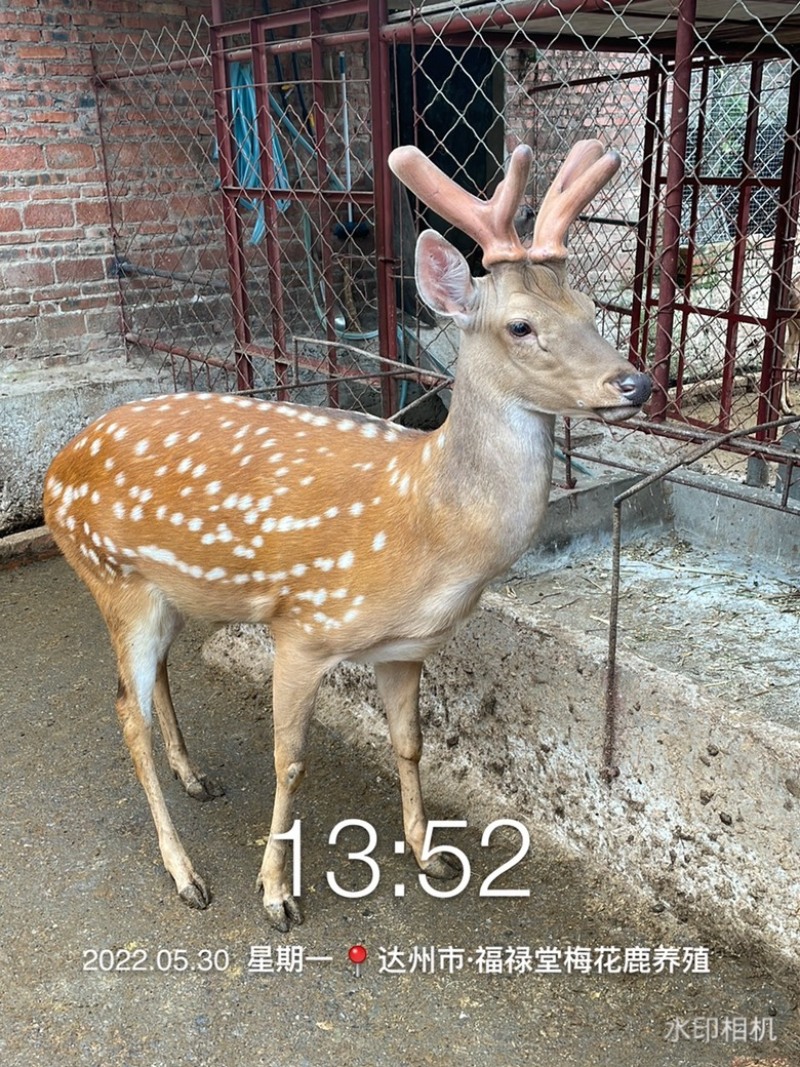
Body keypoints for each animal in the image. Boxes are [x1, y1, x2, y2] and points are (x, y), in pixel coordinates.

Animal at [43, 139, 651, 931]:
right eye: (521, 324)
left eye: (592, 308)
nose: (635, 383)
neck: (428, 529)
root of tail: (55, 470)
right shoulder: (303, 625)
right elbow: (290, 759)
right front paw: (275, 892)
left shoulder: (405, 648)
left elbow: (412, 744)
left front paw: (429, 854)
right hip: (112, 576)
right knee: (125, 711)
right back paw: (185, 872)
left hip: (164, 588)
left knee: (149, 683)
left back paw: (196, 775)